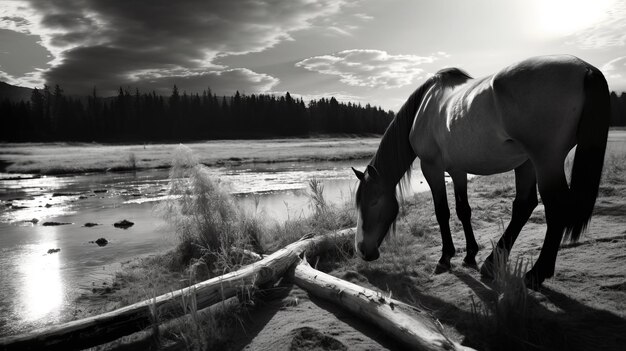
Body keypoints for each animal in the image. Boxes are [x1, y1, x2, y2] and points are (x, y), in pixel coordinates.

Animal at [354, 55, 608, 288]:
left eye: (372, 202)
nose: (362, 250)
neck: (425, 106)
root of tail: (586, 68)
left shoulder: (431, 168)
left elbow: (442, 212)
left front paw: (445, 258)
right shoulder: (457, 170)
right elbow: (463, 210)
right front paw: (470, 255)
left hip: (546, 161)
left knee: (555, 209)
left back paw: (535, 274)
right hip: (527, 163)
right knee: (524, 205)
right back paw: (492, 263)